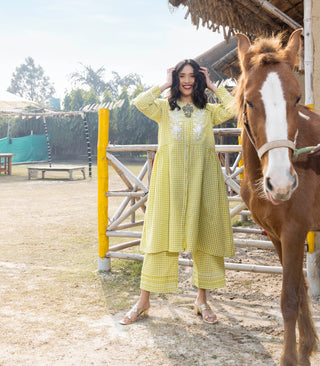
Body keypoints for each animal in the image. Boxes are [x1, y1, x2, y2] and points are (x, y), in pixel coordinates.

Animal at [235, 28, 320, 366]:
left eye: (297, 98)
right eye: (249, 101)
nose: (281, 184)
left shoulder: (295, 233)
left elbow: (290, 300)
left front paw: (291, 358)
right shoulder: (276, 235)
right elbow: (300, 290)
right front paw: (307, 348)